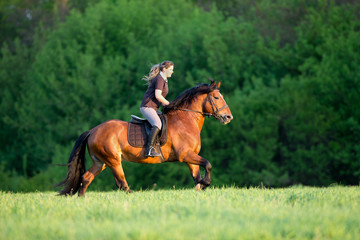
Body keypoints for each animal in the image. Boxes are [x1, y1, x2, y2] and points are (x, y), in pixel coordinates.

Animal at [54, 79, 232, 196]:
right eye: (216, 97)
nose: (228, 117)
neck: (185, 120)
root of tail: (92, 130)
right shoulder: (185, 155)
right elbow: (207, 164)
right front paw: (206, 183)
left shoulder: (190, 157)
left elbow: (197, 176)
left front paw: (201, 186)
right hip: (113, 160)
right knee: (121, 183)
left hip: (101, 162)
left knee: (86, 178)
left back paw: (82, 199)